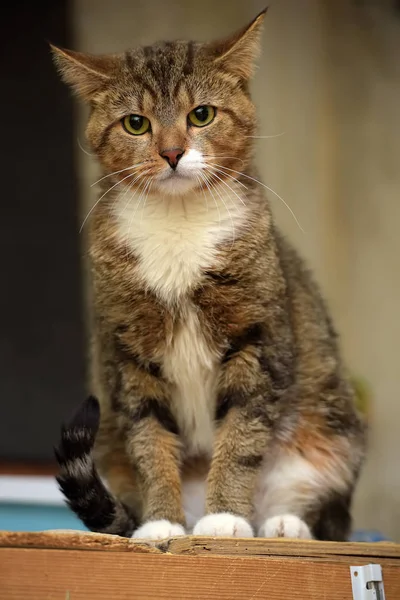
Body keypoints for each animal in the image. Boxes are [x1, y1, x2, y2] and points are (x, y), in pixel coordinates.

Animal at [52, 8, 366, 544]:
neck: (178, 222)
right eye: (135, 123)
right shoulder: (129, 355)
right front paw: (161, 523)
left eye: (201, 115)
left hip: (332, 432)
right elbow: (150, 443)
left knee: (320, 509)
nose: (172, 153)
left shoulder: (257, 340)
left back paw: (281, 525)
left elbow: (241, 435)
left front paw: (225, 517)